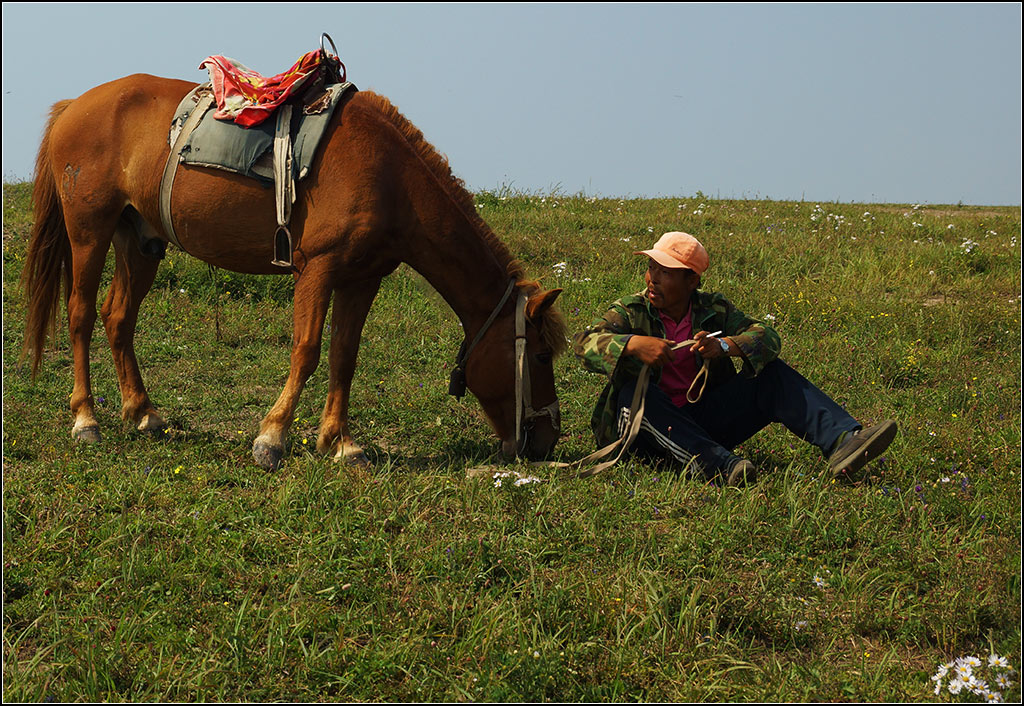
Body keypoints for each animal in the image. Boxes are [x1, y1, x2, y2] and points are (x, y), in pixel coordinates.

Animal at [22, 72, 569, 467]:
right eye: (541, 356)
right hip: (89, 231)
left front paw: (341, 442)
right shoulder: (318, 271)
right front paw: (273, 437)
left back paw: (142, 412)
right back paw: (85, 420)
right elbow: (306, 351)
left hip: (139, 242)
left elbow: (345, 356)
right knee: (80, 315)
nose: (547, 440)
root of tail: (75, 105)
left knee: (118, 318)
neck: (390, 178)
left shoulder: (362, 278)